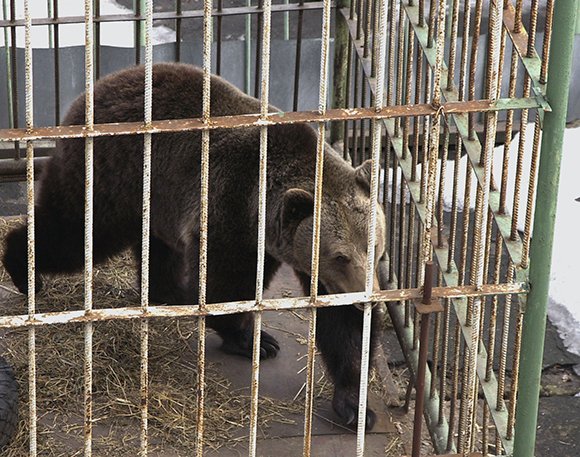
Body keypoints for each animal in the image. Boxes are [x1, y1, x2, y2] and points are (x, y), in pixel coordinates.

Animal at [4, 63, 388, 428]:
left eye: (377, 250)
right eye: (340, 256)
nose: (366, 298)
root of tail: (96, 87)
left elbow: (344, 327)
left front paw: (355, 403)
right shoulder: (231, 207)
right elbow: (224, 287)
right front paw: (255, 340)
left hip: (156, 200)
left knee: (157, 249)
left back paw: (169, 292)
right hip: (111, 173)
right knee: (76, 233)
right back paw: (24, 269)